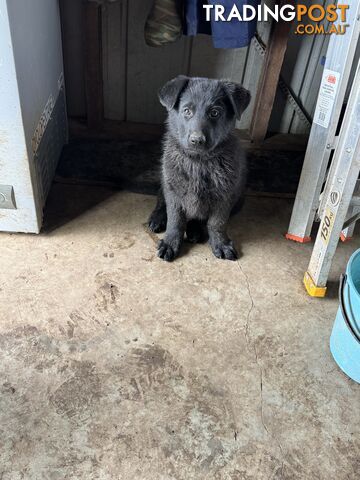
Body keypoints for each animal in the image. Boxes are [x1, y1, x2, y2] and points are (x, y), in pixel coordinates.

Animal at [149, 76, 250, 262]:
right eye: (187, 111)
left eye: (215, 113)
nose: (197, 140)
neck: (198, 162)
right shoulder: (173, 192)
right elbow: (175, 220)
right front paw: (170, 242)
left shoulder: (225, 196)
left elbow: (217, 222)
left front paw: (220, 243)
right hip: (164, 184)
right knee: (160, 202)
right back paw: (157, 219)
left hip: (239, 199)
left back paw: (195, 230)